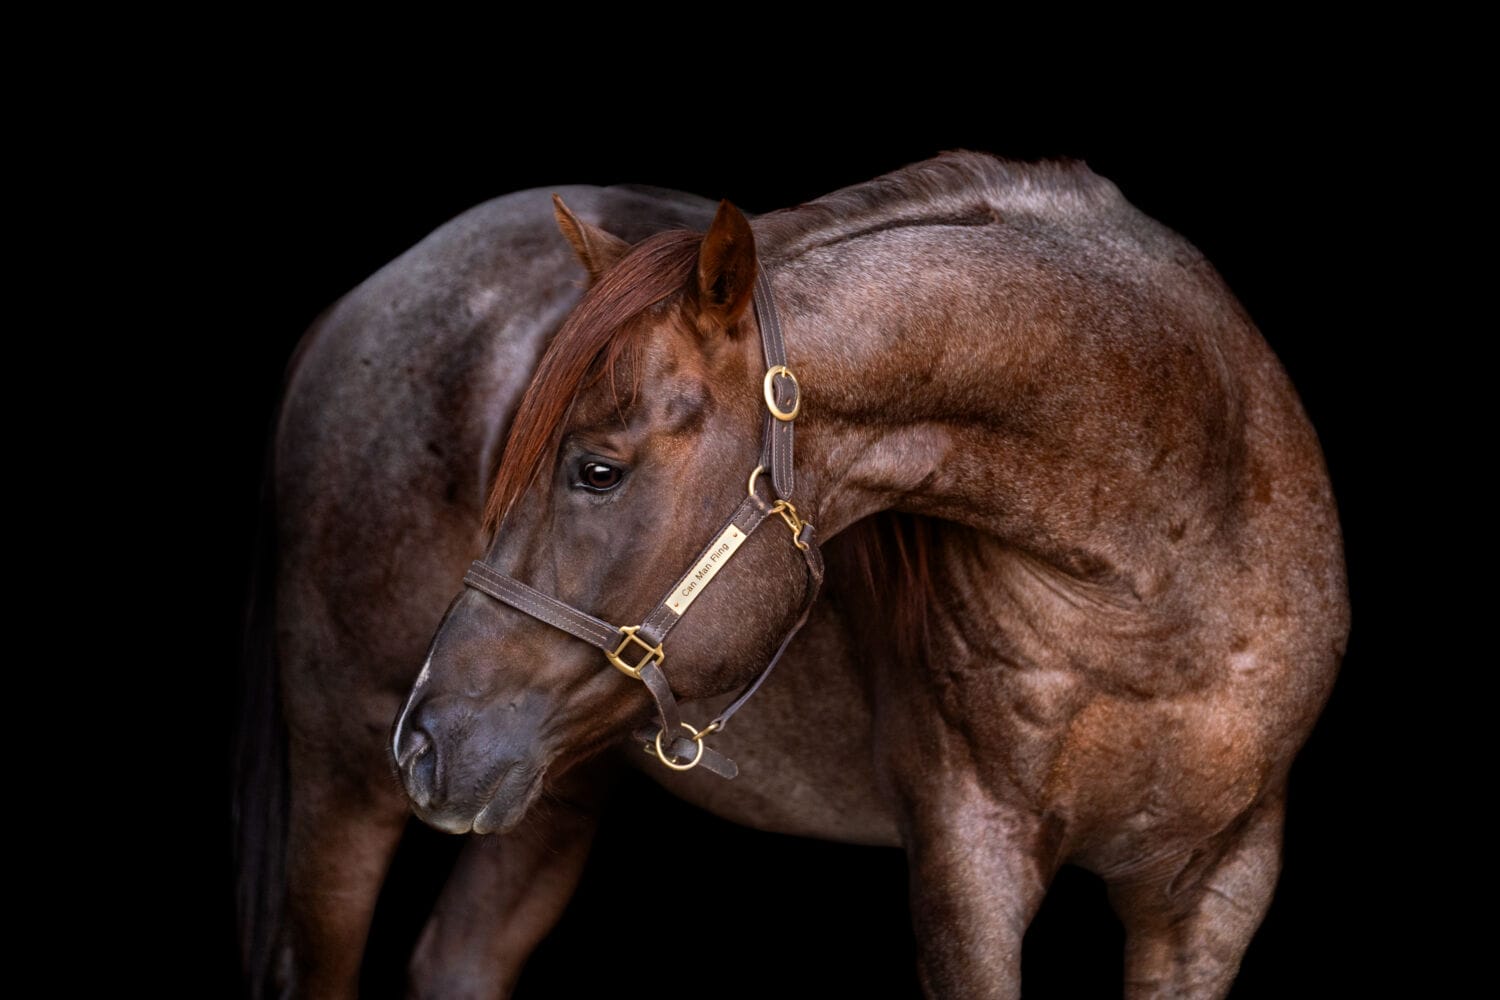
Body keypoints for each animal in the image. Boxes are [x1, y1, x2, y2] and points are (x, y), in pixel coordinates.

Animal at [246, 152, 1348, 997]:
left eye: (596, 469)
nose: (427, 738)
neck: (1154, 589)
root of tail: (355, 305)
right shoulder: (968, 862)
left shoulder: (1212, 892)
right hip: (344, 779)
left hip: (548, 791)